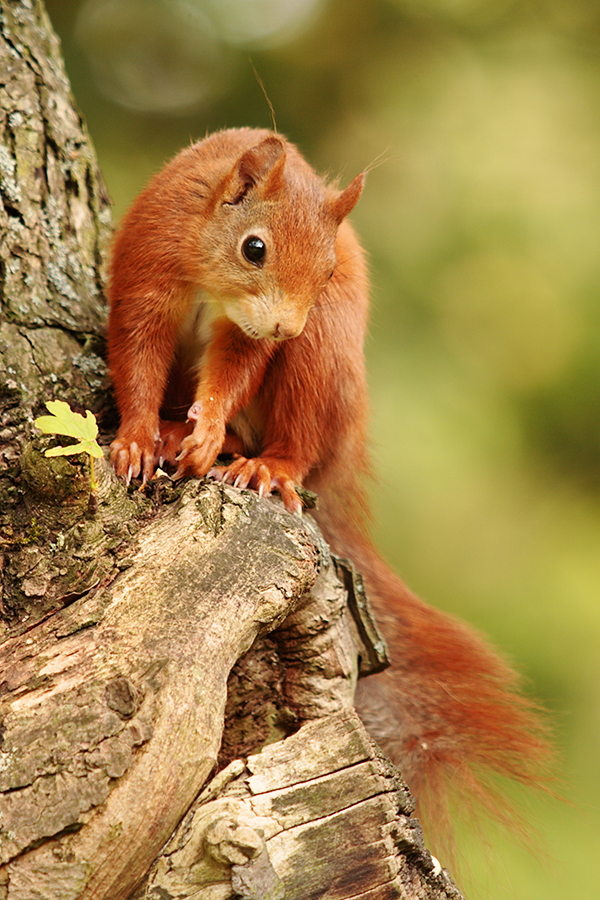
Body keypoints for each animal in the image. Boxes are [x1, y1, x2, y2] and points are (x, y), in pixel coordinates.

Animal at [106, 128, 548, 844]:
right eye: (254, 248)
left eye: (329, 267)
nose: (283, 326)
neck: (210, 272)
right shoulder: (149, 269)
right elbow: (137, 356)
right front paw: (139, 438)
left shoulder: (247, 336)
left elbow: (235, 370)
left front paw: (206, 429)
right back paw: (181, 433)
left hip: (324, 357)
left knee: (298, 437)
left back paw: (265, 464)